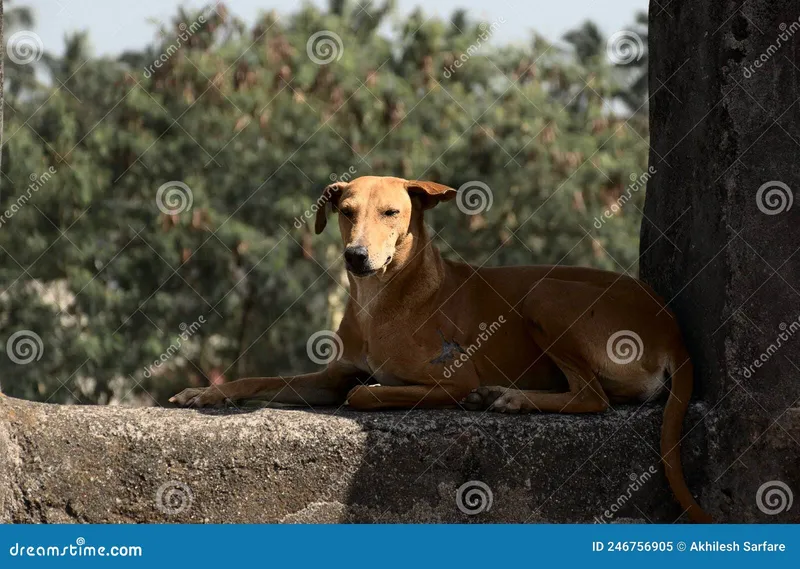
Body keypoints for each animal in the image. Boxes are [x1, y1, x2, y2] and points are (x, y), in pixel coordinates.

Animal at [172, 175, 708, 520]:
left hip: (546, 293)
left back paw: (508, 397)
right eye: (346, 213)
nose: (356, 257)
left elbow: (363, 393)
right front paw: (204, 395)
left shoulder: (450, 378)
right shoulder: (331, 375)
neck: (381, 299)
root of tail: (673, 329)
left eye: (392, 213)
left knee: (593, 397)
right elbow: (264, 378)